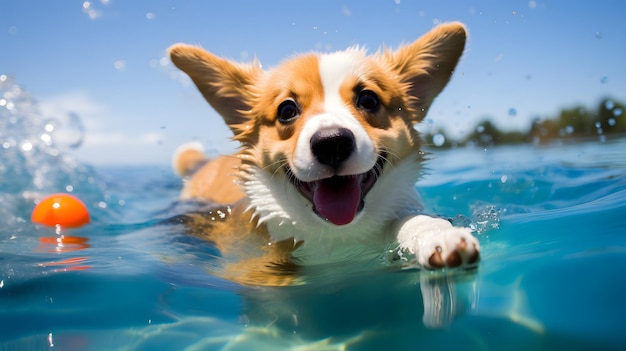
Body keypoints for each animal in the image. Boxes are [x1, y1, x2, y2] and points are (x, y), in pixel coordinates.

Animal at [168, 22, 476, 286]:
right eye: (287, 110)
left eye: (368, 99)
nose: (332, 143)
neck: (335, 233)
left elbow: (412, 221)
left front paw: (439, 236)